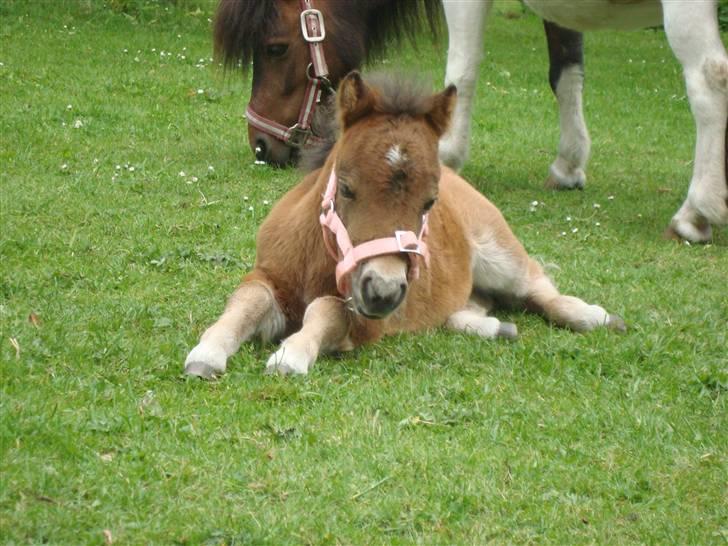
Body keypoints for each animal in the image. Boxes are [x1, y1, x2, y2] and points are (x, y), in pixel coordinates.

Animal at [185, 73, 624, 378]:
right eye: (346, 187)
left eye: (429, 201)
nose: (383, 290)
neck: (317, 256)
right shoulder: (270, 278)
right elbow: (246, 303)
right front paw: (206, 355)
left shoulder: (364, 320)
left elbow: (328, 309)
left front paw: (290, 355)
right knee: (473, 305)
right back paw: (498, 328)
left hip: (500, 251)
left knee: (535, 284)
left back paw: (594, 317)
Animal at [213, 0, 724, 242]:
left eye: (275, 47)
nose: (261, 144)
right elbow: (567, 69)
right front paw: (568, 165)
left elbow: (463, 69)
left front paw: (445, 157)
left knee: (709, 80)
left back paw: (696, 212)